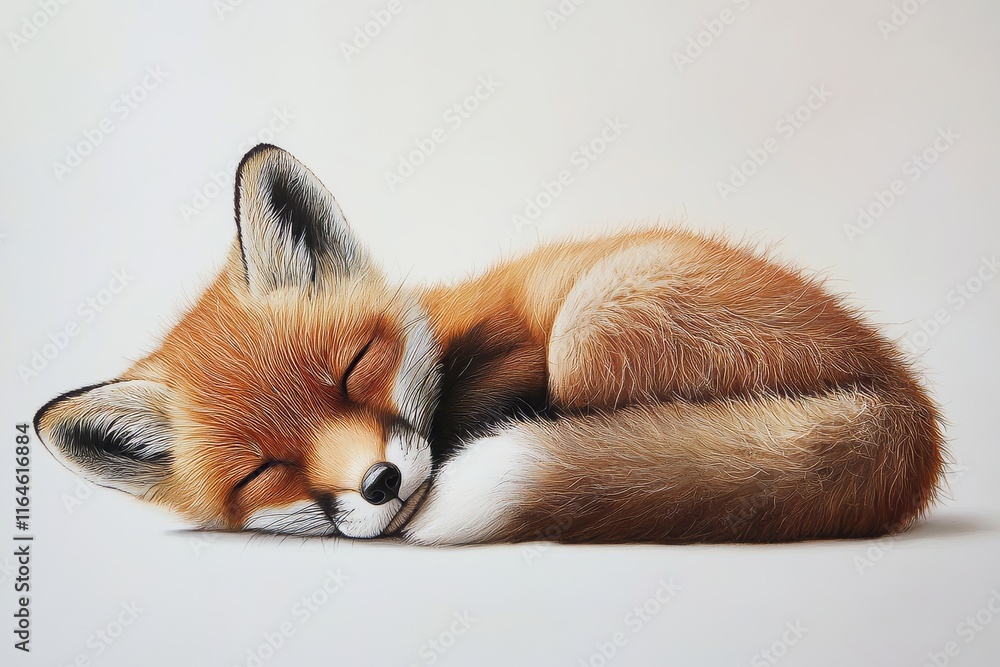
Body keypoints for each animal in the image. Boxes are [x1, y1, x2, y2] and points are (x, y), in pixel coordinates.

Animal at [34, 144, 944, 545]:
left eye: (354, 370)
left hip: (593, 322)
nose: (381, 483)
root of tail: (912, 404)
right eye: (265, 470)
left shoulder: (525, 340)